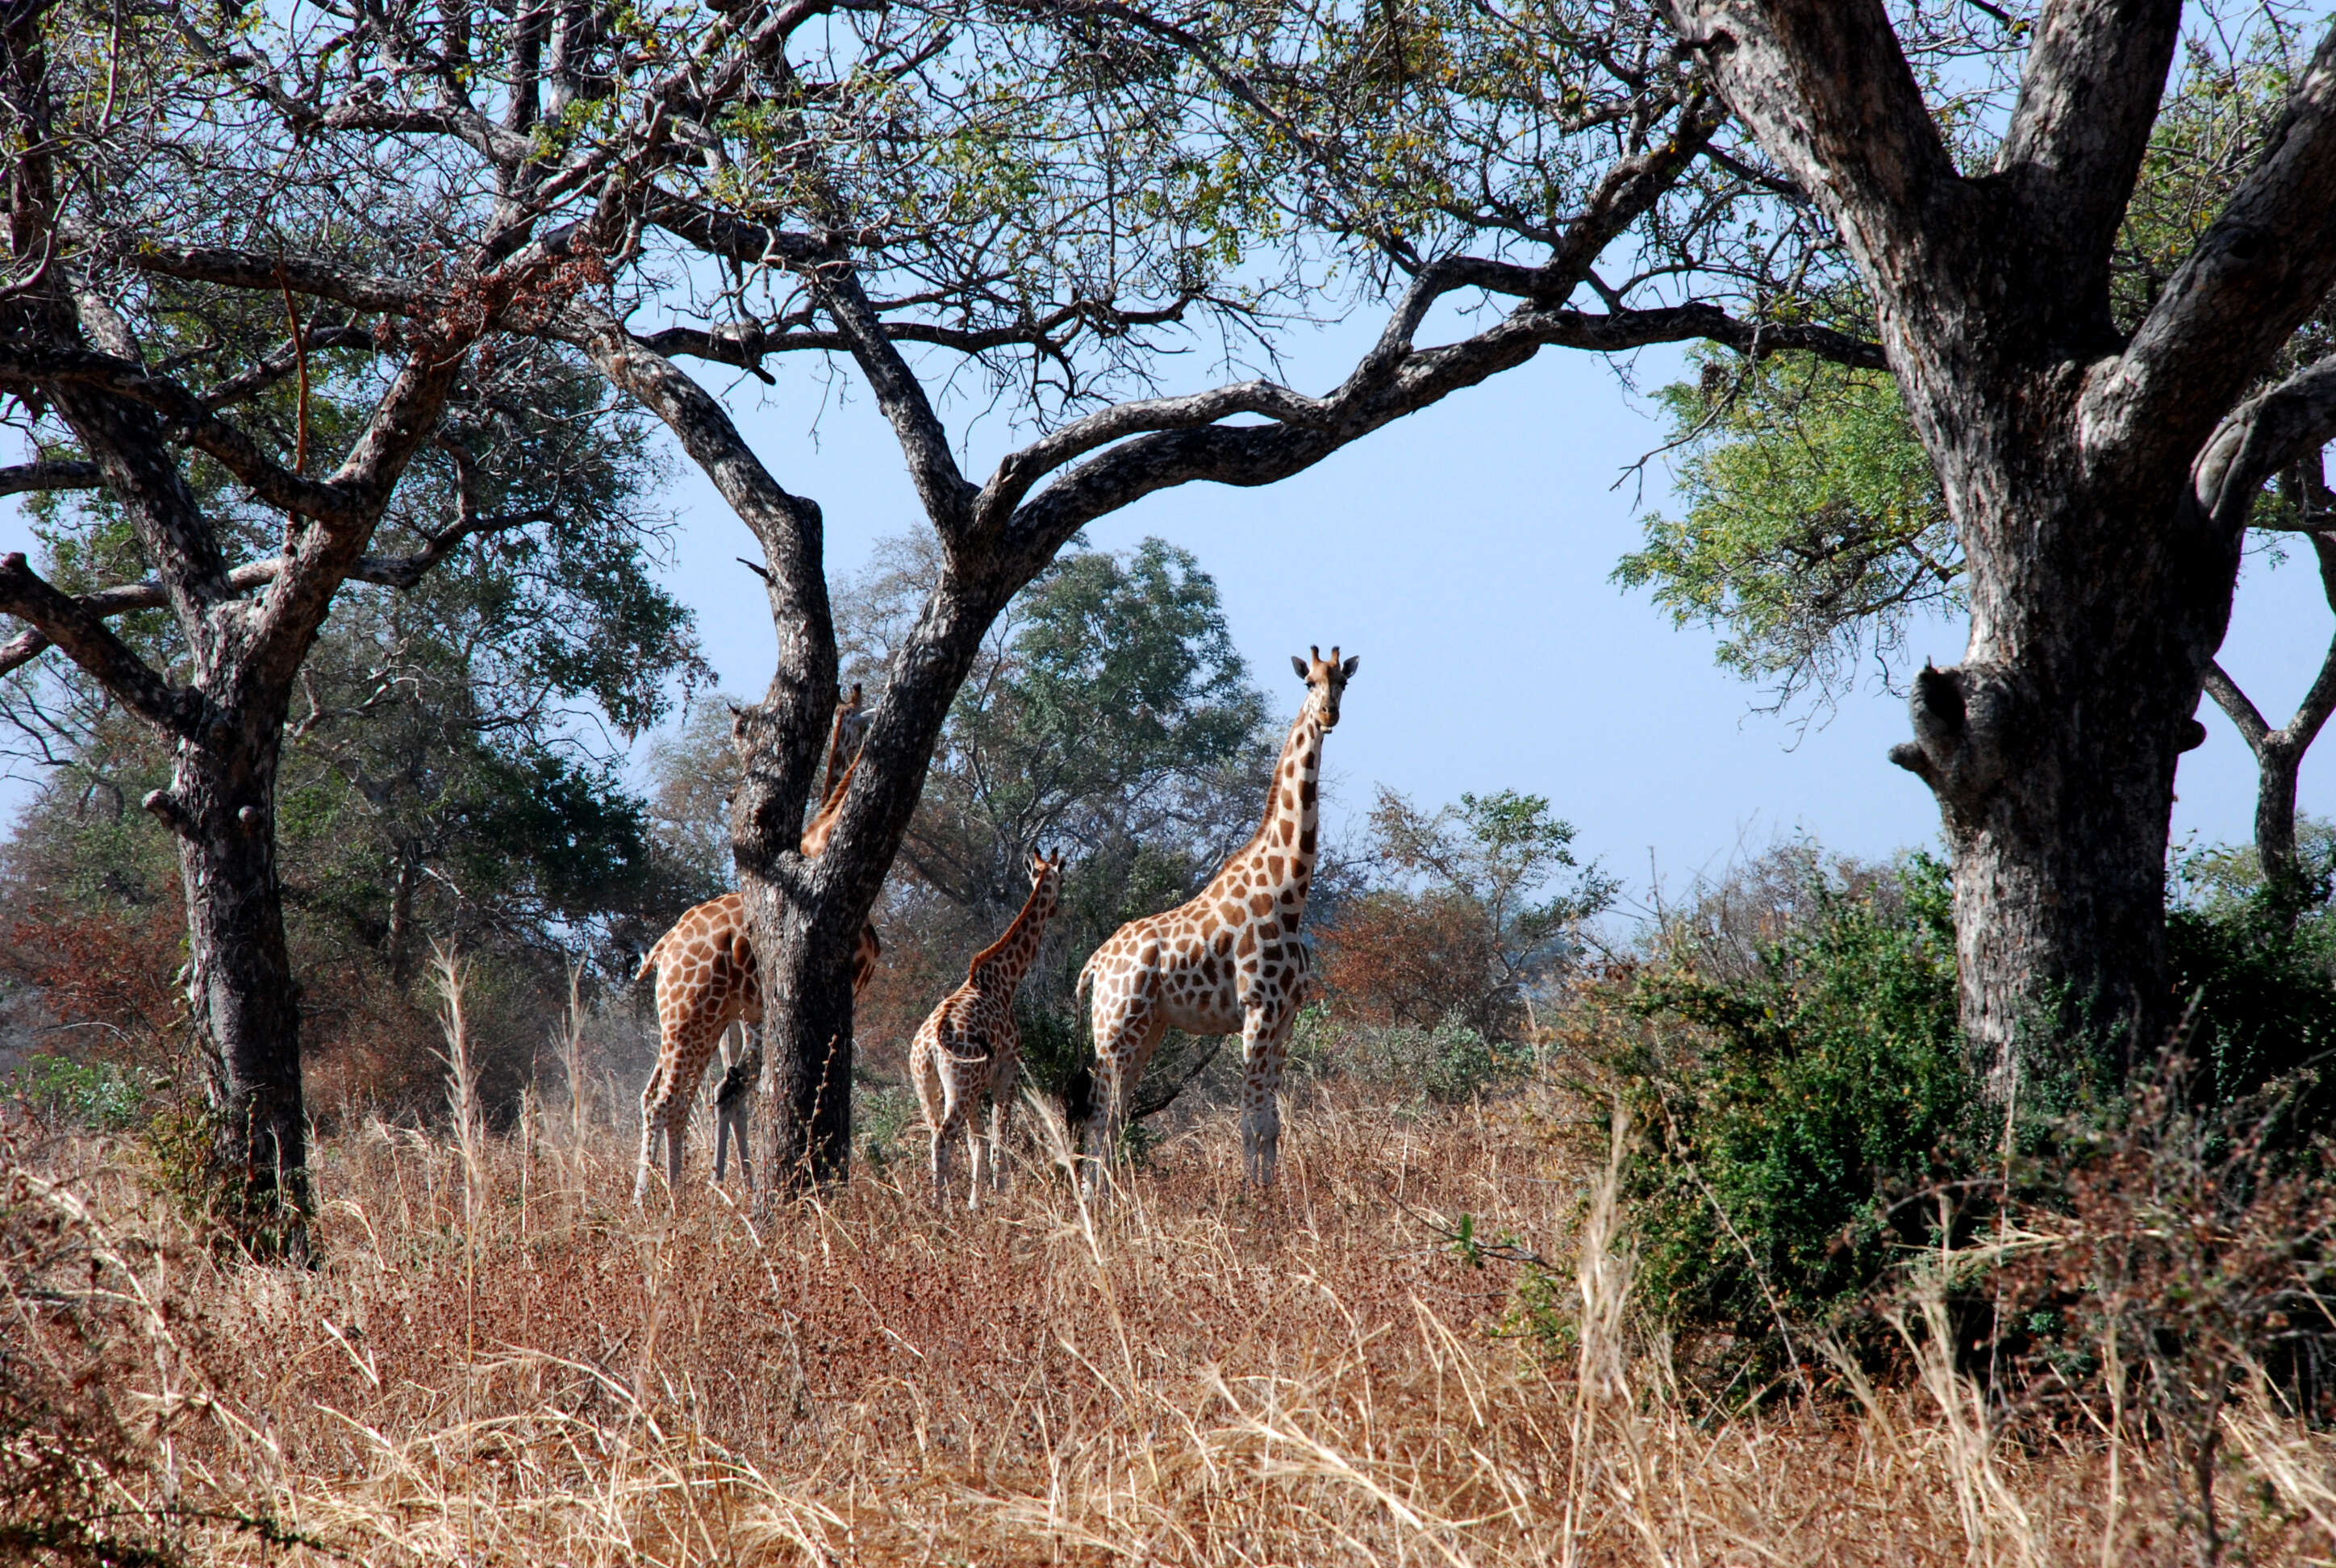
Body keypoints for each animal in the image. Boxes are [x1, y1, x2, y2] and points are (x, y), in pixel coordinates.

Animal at [635, 682, 878, 1205]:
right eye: (865, 717)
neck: (818, 844)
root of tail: (663, 949)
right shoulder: (835, 993)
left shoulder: (757, 1014)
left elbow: (743, 1090)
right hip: (693, 1018)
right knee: (671, 1100)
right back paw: (662, 1202)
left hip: (688, 1021)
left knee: (671, 1096)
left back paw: (672, 1192)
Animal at [911, 850, 1070, 1205]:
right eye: (1063, 879)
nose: (1057, 908)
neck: (1006, 980)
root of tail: (930, 1044)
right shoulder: (1007, 1069)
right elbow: (1001, 1131)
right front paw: (1001, 1191)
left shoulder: (979, 1085)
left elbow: (977, 1140)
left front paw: (976, 1201)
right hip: (959, 1085)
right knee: (944, 1136)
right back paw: (941, 1207)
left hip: (927, 1083)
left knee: (935, 1133)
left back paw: (943, 1204)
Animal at [1074, 649, 1354, 1191]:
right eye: (1308, 682)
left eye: (1344, 682)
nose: (1329, 714)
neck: (1290, 895)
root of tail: (1095, 963)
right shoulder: (1257, 1010)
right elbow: (1250, 1120)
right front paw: (1251, 1196)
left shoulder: (1286, 1017)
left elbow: (1273, 1121)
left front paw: (1269, 1193)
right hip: (1114, 1028)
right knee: (1099, 1113)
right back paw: (1095, 1199)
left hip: (1147, 1029)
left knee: (1116, 1112)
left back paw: (1115, 1196)